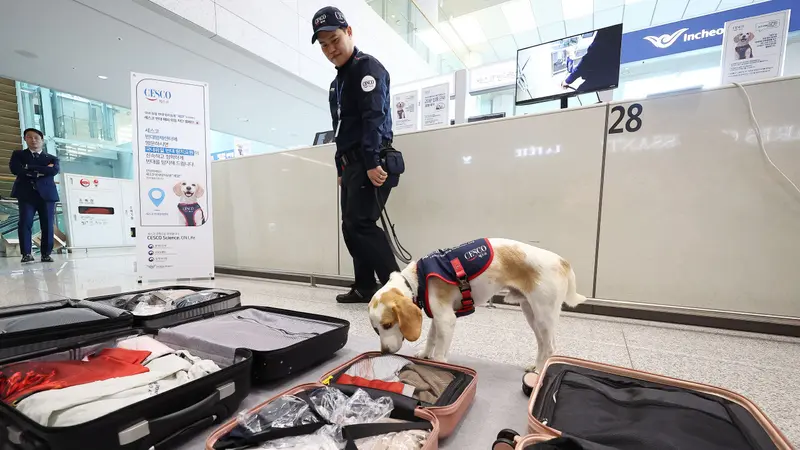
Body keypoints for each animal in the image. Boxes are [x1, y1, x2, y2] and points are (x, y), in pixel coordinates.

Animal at [368, 239, 588, 372]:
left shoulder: (446, 319)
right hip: (532, 314)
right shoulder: (438, 317)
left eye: (387, 325)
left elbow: (439, 352)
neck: (417, 280)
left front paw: (440, 365)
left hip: (544, 315)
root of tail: (562, 261)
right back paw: (535, 367)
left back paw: (540, 373)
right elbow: (431, 338)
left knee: (550, 347)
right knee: (542, 344)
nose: (384, 352)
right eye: (376, 330)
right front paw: (424, 354)